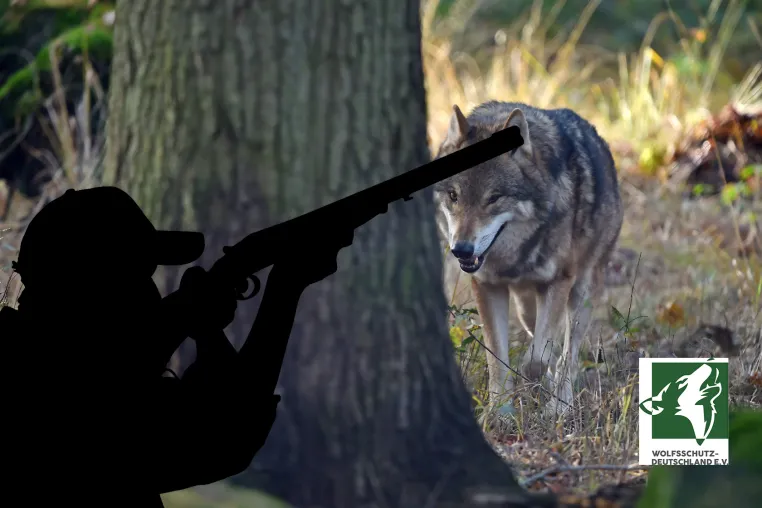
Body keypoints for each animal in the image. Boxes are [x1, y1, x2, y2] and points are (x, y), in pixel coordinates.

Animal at [433, 101, 624, 417]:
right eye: (453, 195)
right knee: (543, 339)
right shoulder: (488, 287)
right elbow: (498, 358)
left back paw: (560, 405)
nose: (461, 249)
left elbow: (537, 360)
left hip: (582, 292)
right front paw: (500, 412)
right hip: (526, 308)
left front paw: (533, 386)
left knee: (568, 354)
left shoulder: (557, 283)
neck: (513, 257)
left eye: (494, 198)